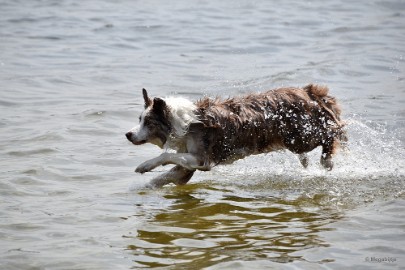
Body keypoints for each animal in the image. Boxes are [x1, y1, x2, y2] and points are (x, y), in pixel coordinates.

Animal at [124, 84, 346, 188]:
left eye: (149, 123)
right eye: (139, 119)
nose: (128, 134)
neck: (184, 122)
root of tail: (309, 92)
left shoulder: (202, 159)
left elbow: (166, 155)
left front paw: (144, 165)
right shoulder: (188, 165)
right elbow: (169, 175)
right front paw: (145, 185)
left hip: (302, 136)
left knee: (333, 132)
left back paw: (327, 160)